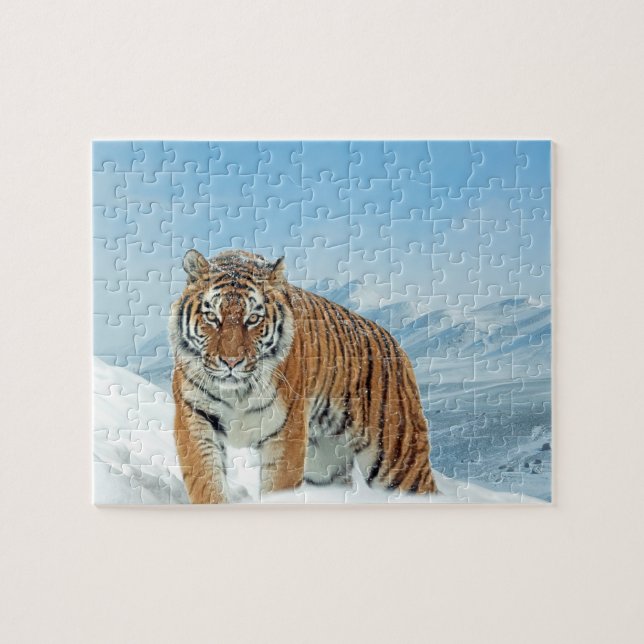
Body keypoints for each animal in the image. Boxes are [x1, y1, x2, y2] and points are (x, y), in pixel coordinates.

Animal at [169, 248, 437, 503]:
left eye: (253, 319)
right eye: (212, 317)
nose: (231, 362)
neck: (238, 391)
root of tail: (395, 344)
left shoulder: (286, 432)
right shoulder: (195, 417)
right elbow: (206, 481)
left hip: (399, 462)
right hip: (325, 465)